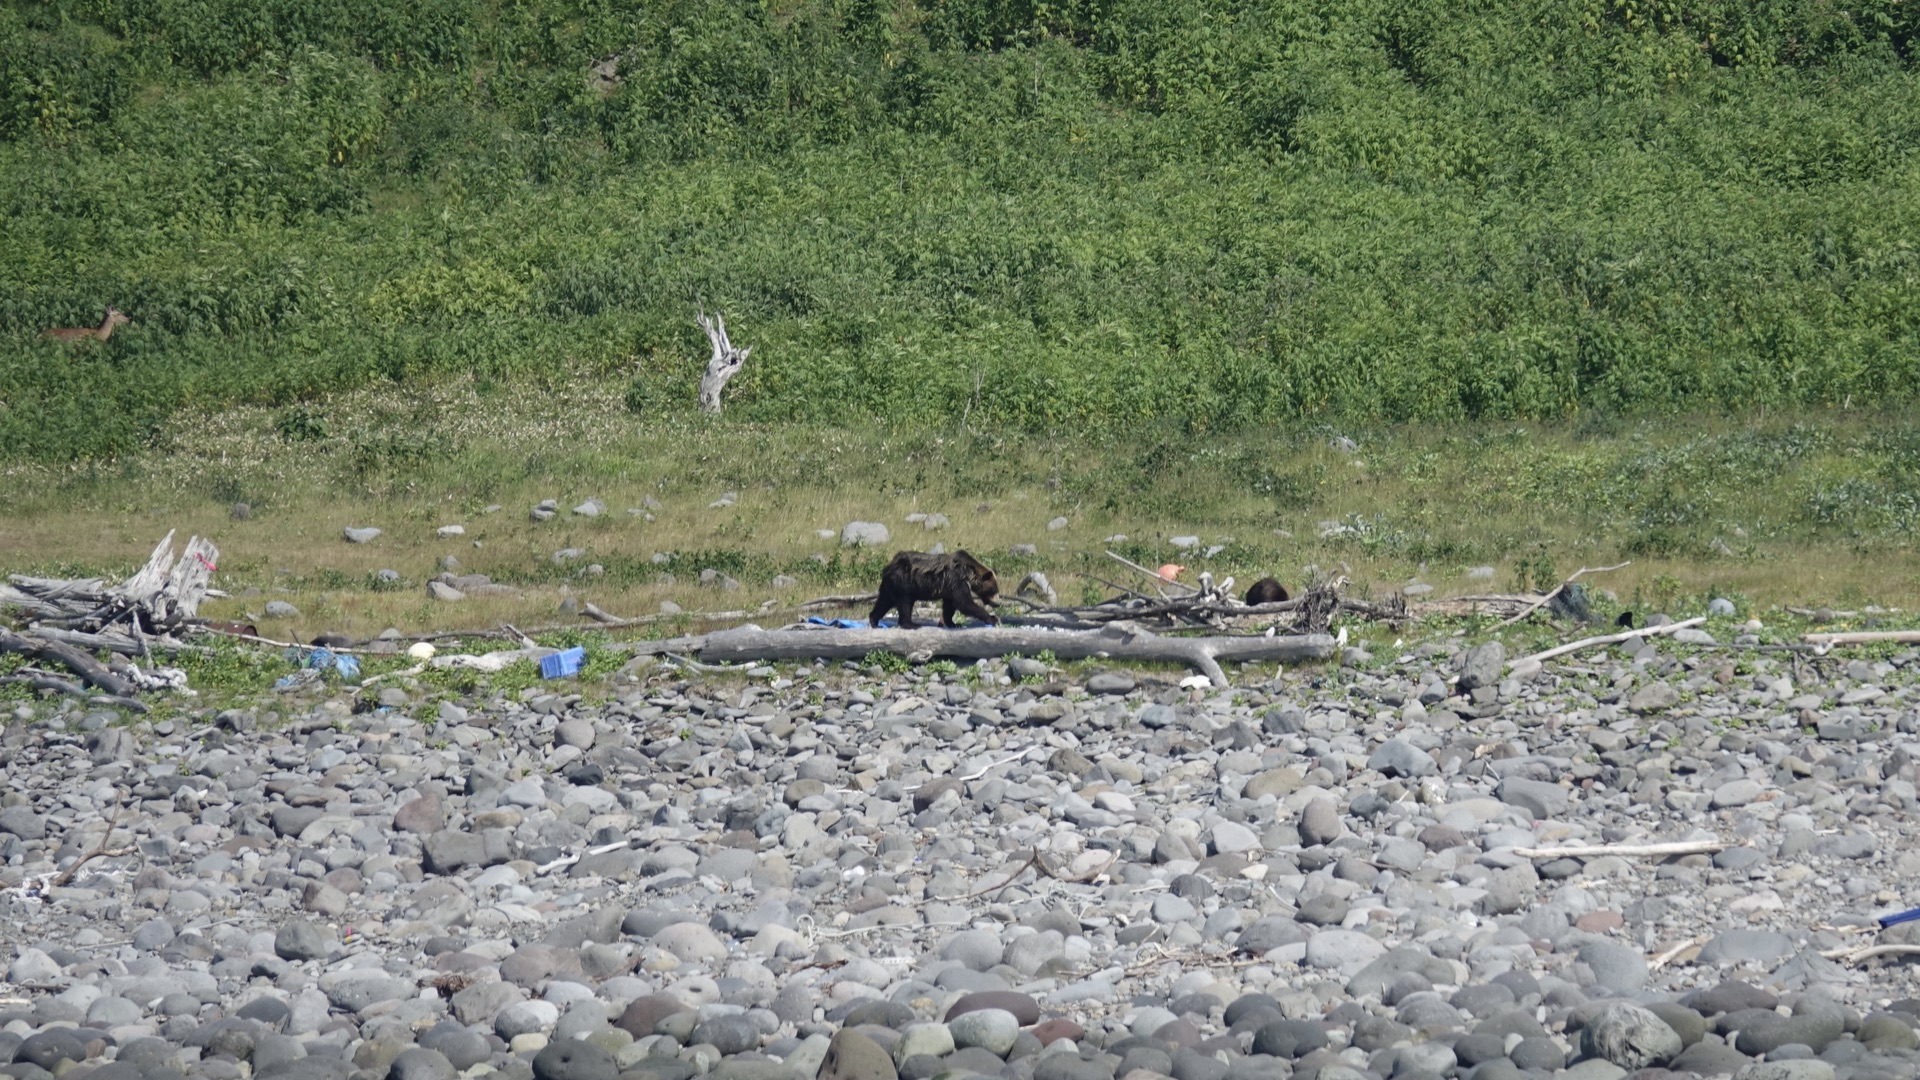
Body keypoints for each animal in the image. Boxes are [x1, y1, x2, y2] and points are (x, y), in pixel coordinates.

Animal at [867, 549, 998, 626]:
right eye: (994, 590)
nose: (997, 603)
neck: (968, 573)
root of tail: (888, 566)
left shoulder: (949, 587)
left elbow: (950, 605)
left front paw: (952, 623)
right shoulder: (956, 579)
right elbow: (964, 602)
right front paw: (992, 618)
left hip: (890, 585)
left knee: (884, 601)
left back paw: (874, 620)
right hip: (903, 581)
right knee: (904, 602)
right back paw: (911, 624)